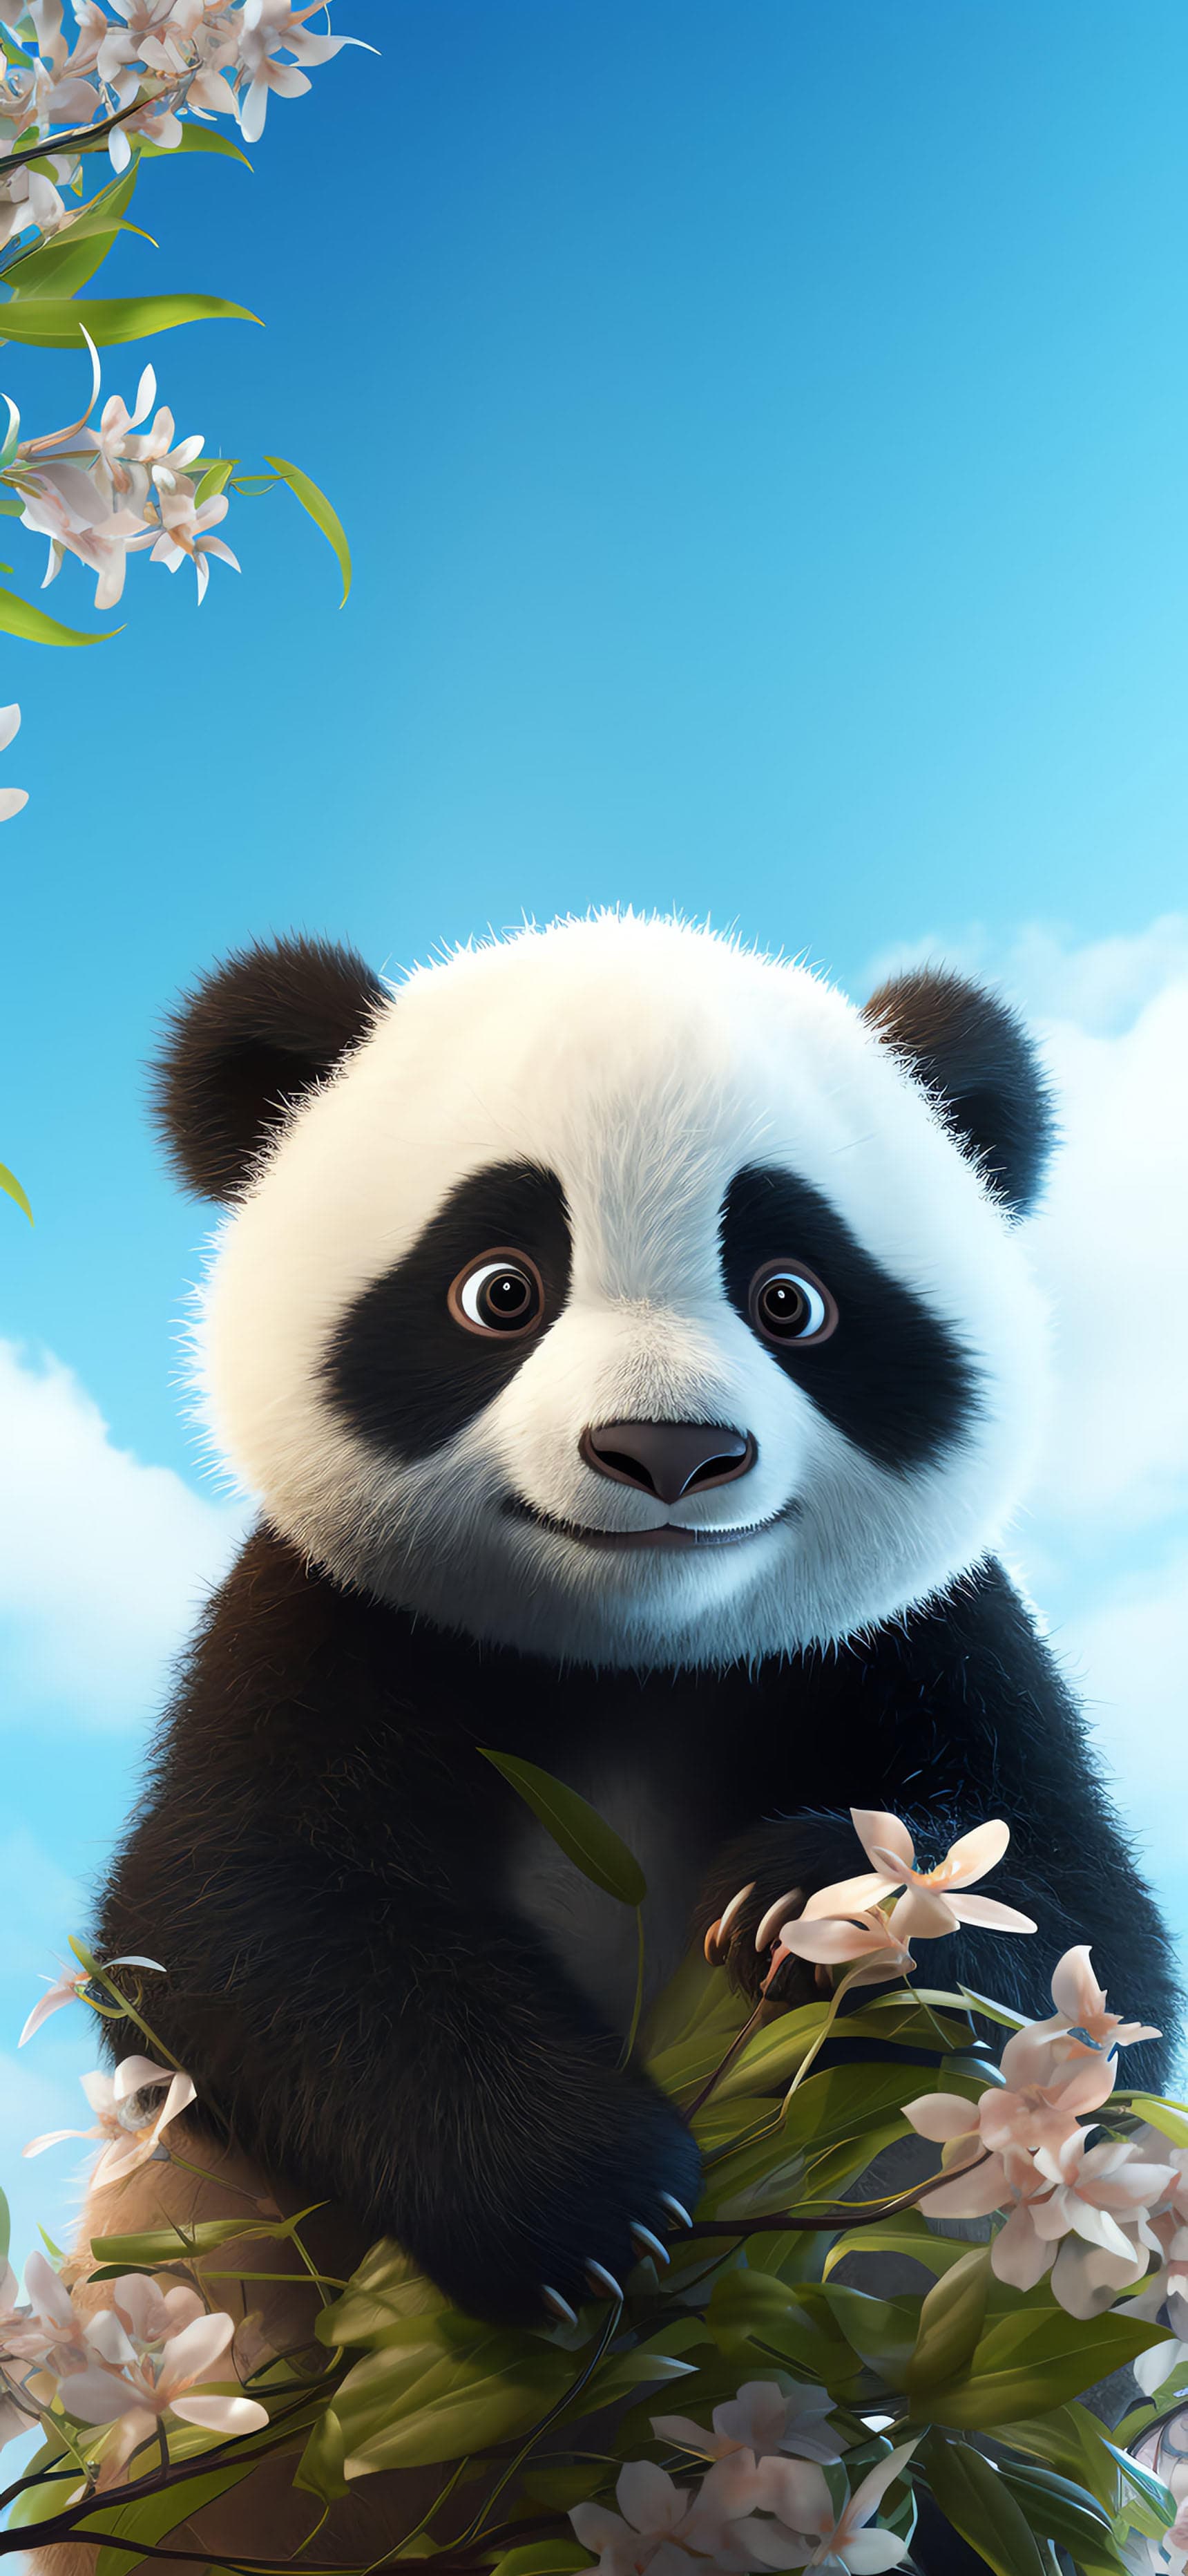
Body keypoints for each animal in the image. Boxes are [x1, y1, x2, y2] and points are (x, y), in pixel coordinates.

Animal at [94, 910, 1177, 2337]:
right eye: (500, 1289)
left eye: (792, 1297)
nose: (668, 1451)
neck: (638, 1655)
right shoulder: (331, 1615)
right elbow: (228, 1918)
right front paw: (590, 2202)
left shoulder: (925, 1635)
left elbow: (1091, 1949)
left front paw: (816, 1900)